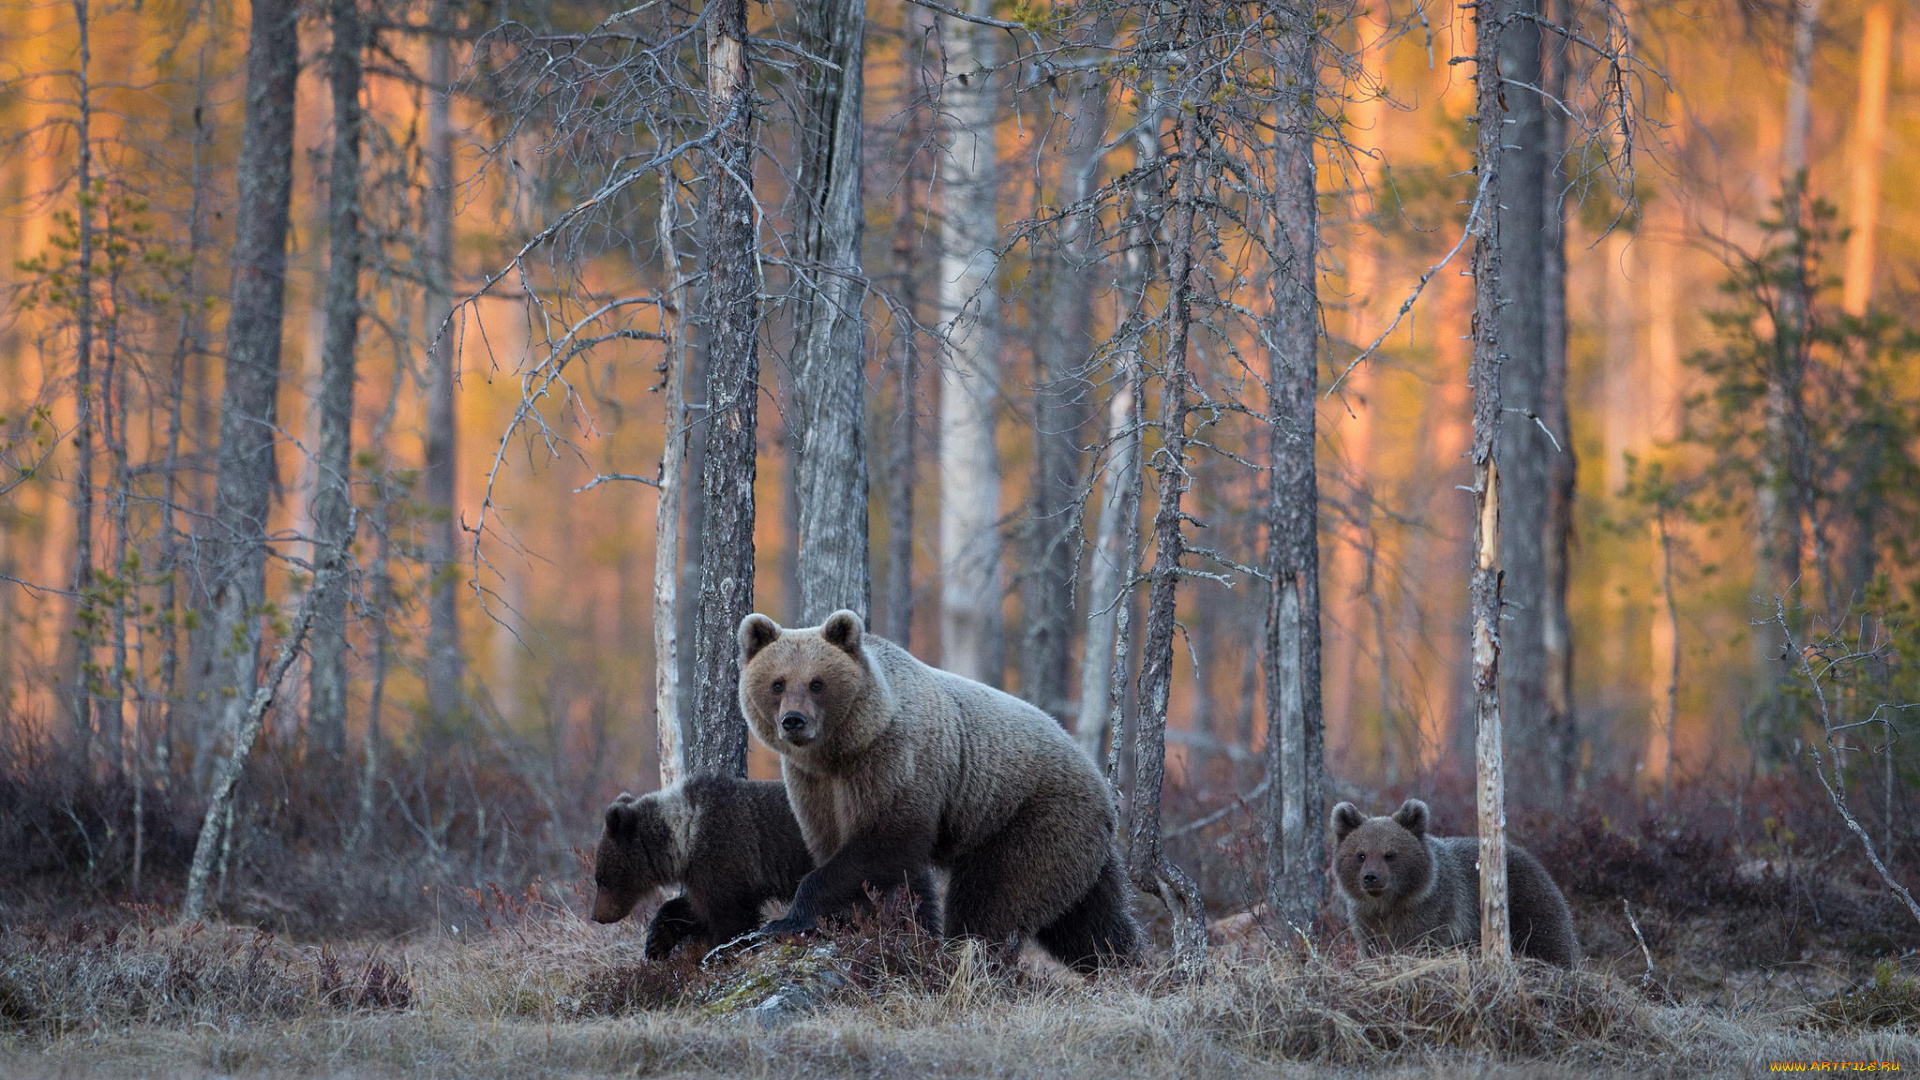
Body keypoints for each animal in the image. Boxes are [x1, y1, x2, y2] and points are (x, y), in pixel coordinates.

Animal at [591, 772, 817, 957]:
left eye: (601, 879)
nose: (596, 916)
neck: (685, 837)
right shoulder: (701, 872)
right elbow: (693, 908)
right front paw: (655, 942)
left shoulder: (723, 853)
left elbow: (729, 917)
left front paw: (726, 950)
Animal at [737, 611, 1136, 972]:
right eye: (777, 683)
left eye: (817, 683)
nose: (794, 721)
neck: (842, 750)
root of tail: (1100, 781)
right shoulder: (814, 786)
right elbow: (865, 862)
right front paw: (884, 926)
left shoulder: (894, 764)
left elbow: (882, 845)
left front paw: (787, 920)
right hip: (1077, 846)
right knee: (1089, 919)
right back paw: (1123, 965)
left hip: (1031, 818)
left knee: (995, 899)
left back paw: (972, 957)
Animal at [1328, 795, 1582, 960]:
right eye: (1360, 855)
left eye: (1389, 854)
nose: (1371, 877)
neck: (1390, 903)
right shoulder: (1365, 917)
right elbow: (1372, 945)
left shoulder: (1431, 909)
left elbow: (1418, 941)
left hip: (1530, 904)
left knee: (1548, 941)